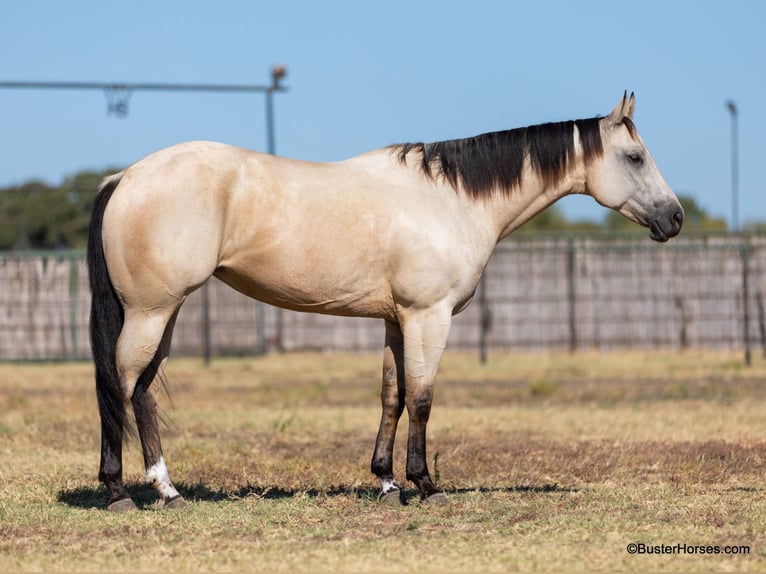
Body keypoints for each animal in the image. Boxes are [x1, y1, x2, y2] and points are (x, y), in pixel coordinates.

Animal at [88, 92, 684, 510]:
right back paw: (120, 492)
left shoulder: (397, 321)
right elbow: (422, 398)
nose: (675, 218)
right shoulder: (428, 317)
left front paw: (386, 482)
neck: (452, 199)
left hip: (165, 314)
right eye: (635, 156)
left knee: (142, 391)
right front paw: (426, 485)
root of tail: (125, 176)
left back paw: (166, 490)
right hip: (151, 312)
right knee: (119, 385)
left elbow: (391, 397)